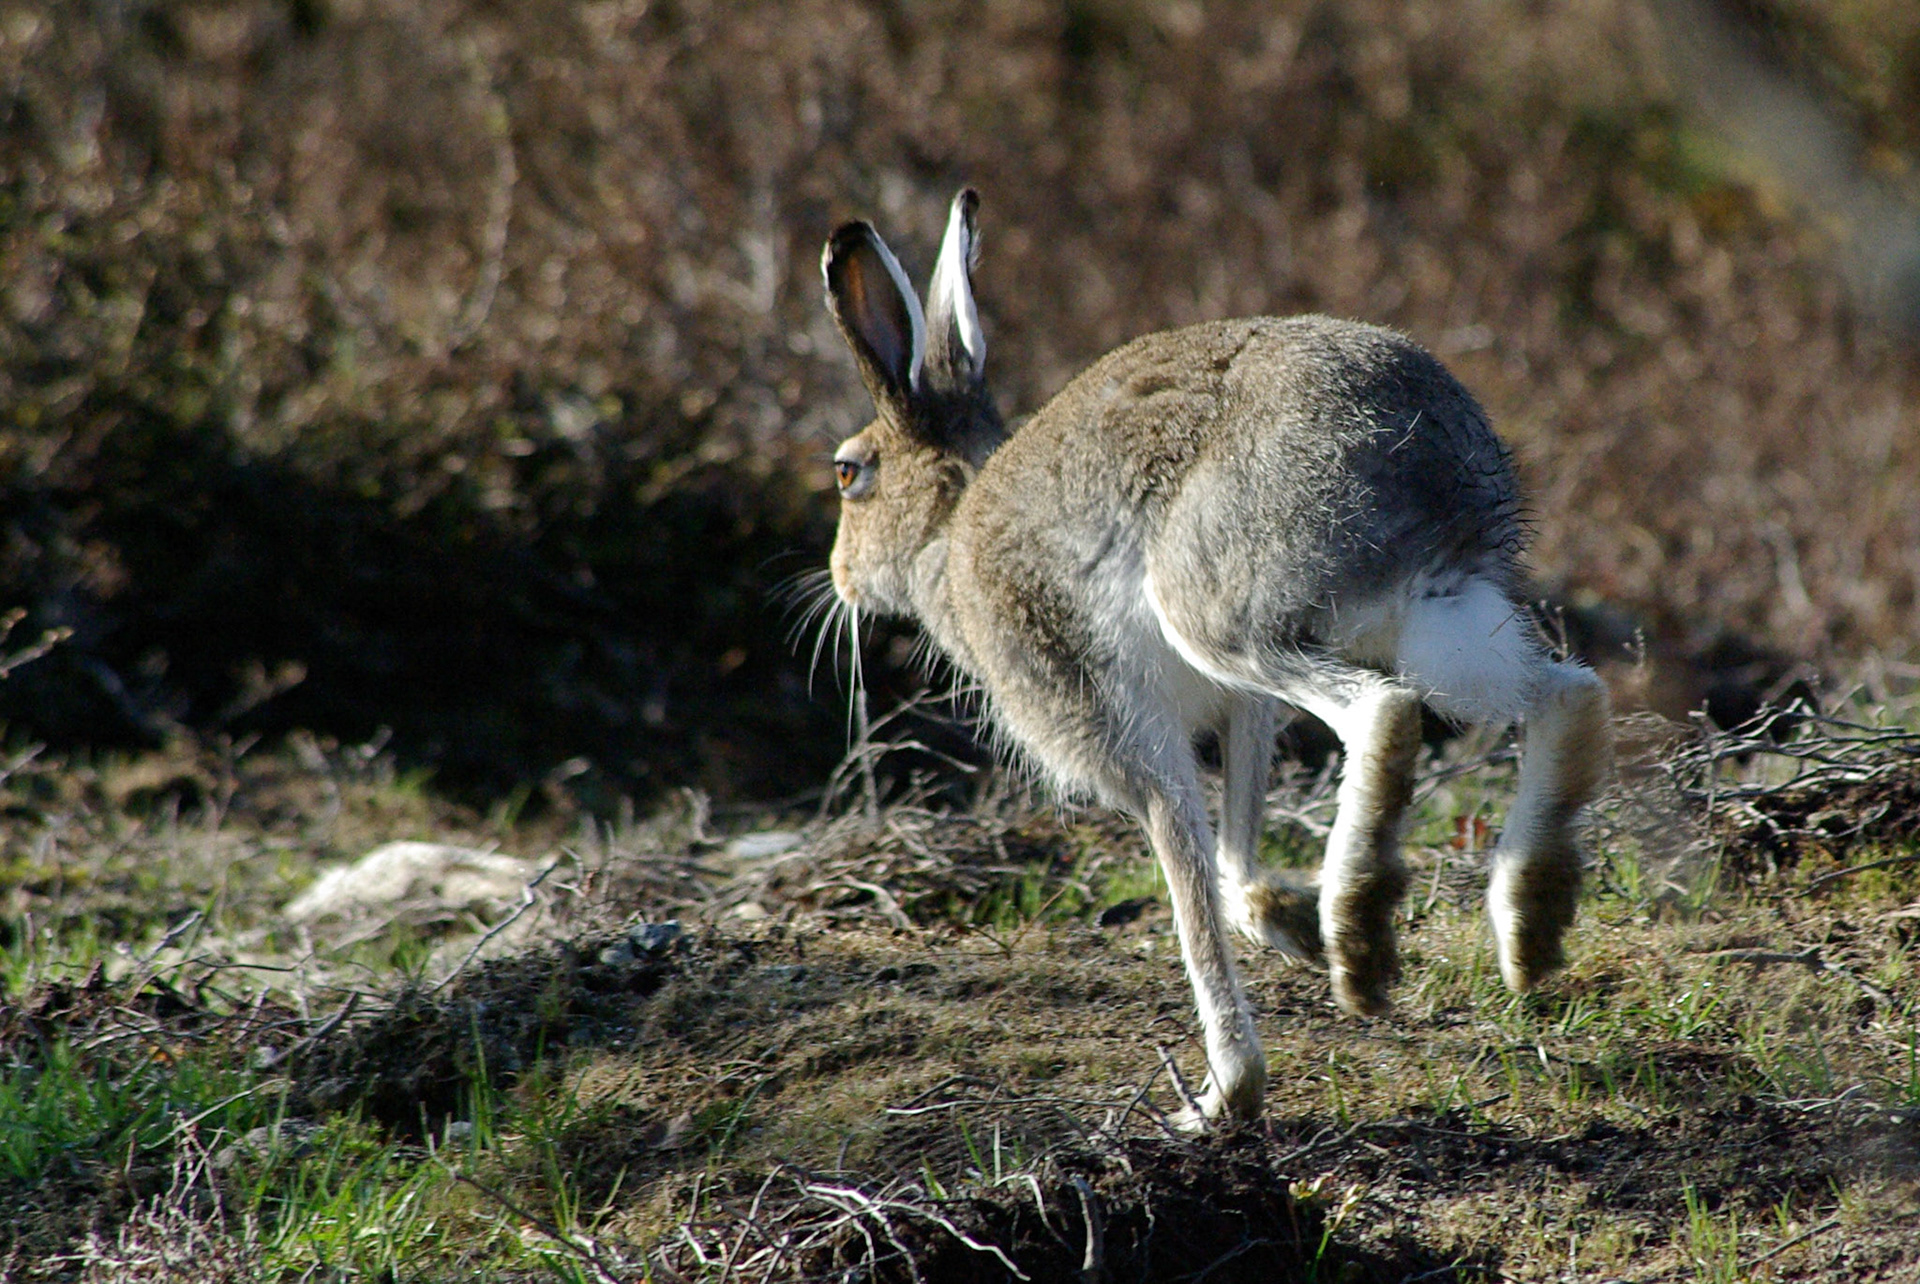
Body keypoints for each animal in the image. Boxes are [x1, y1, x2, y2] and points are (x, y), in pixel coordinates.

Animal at [816, 188, 1612, 1125]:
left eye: (848, 474)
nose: (838, 576)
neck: (949, 529)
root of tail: (1425, 451)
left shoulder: (1109, 723)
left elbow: (1189, 879)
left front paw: (1227, 1093)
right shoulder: (1240, 713)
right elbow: (1231, 854)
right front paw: (1287, 925)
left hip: (1219, 607)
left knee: (1383, 713)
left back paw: (1360, 939)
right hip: (1435, 616)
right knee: (1566, 692)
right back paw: (1528, 926)